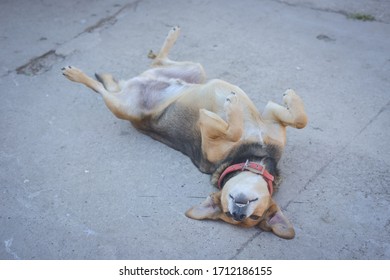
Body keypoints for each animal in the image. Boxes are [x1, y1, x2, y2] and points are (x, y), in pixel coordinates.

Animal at [62, 27, 308, 240]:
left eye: (255, 217)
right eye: (230, 213)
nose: (238, 213)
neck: (254, 157)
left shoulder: (229, 127)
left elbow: (275, 123)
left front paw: (235, 108)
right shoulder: (258, 119)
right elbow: (297, 120)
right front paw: (283, 98)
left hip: (137, 97)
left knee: (114, 84)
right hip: (173, 81)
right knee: (114, 81)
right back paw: (77, 73)